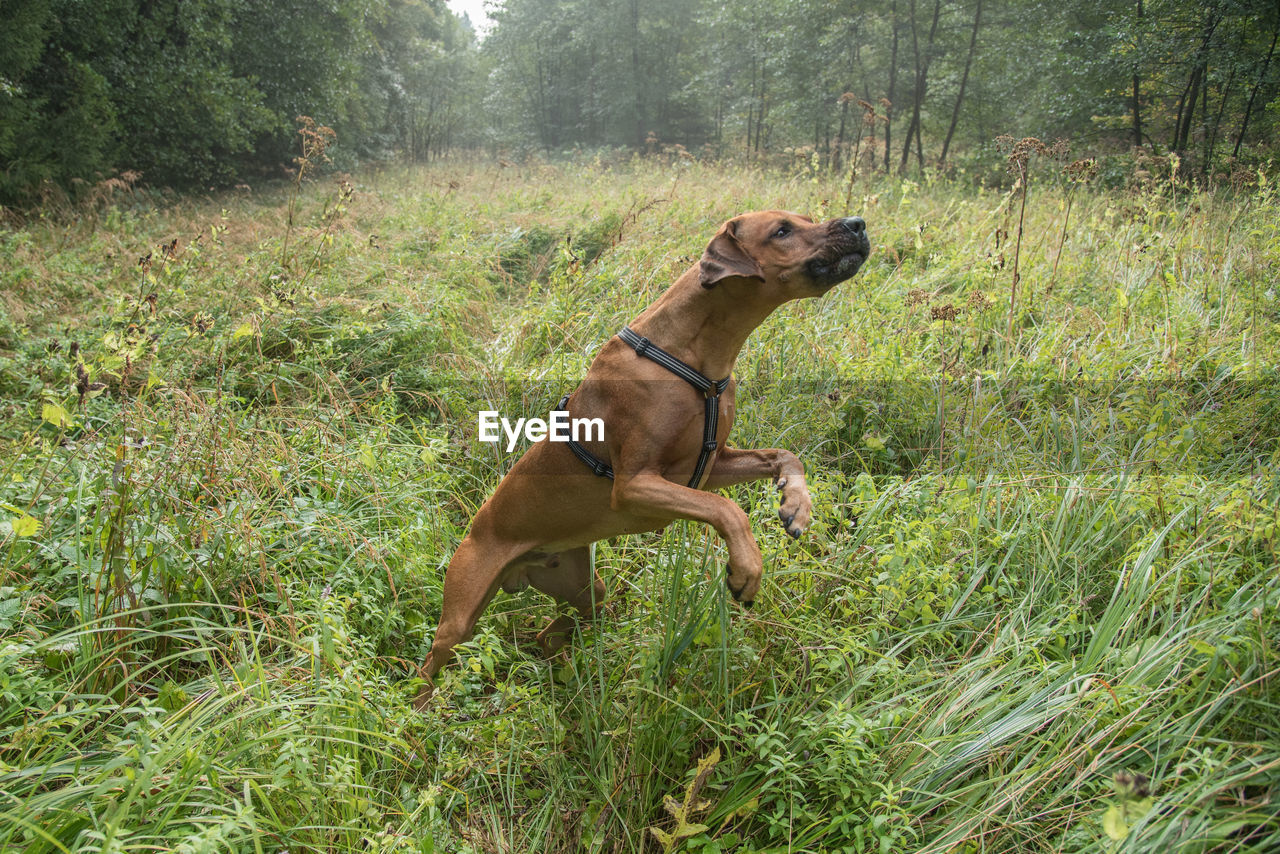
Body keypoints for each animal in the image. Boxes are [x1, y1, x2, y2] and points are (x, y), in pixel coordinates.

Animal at [414, 209, 865, 706]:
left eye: (805, 218)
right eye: (782, 230)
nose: (858, 223)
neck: (693, 351)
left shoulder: (708, 466)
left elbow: (784, 457)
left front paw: (796, 504)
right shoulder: (634, 486)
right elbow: (727, 510)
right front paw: (747, 568)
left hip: (585, 589)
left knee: (553, 631)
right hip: (461, 613)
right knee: (431, 661)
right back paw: (422, 710)